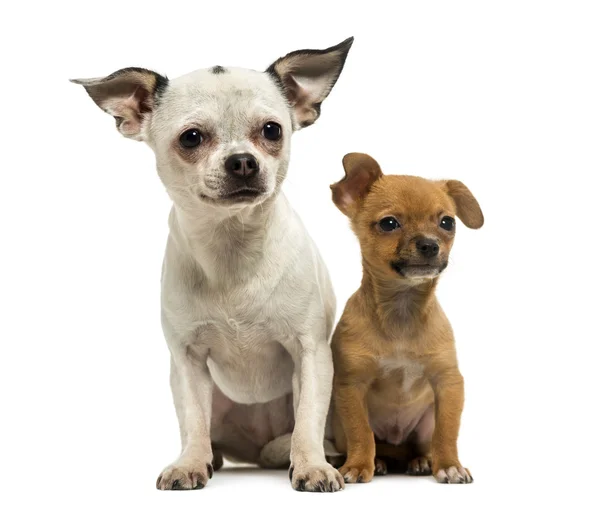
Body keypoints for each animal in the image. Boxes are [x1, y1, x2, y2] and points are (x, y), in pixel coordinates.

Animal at [328, 152, 482, 484]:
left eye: (447, 222)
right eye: (389, 223)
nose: (429, 244)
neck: (402, 309)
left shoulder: (448, 383)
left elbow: (447, 431)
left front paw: (449, 465)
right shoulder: (352, 386)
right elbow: (361, 433)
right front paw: (358, 466)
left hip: (424, 425)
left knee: (422, 445)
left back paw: (422, 461)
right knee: (376, 443)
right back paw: (379, 461)